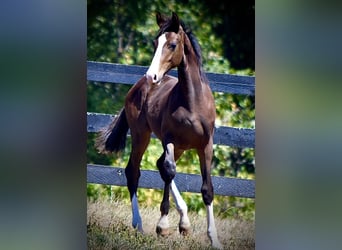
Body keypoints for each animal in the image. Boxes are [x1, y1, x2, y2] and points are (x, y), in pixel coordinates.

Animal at [96, 11, 223, 248]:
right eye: (155, 43)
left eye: (172, 44)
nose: (152, 76)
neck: (192, 103)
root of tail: (137, 87)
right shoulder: (169, 139)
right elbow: (169, 171)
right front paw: (163, 227)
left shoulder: (206, 145)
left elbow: (207, 189)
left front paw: (214, 239)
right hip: (141, 135)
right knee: (134, 171)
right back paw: (140, 225)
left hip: (181, 146)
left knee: (157, 166)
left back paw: (184, 223)